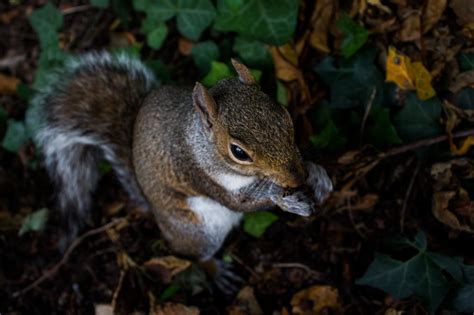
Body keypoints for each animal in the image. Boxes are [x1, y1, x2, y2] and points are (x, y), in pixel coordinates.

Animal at [33, 51, 332, 282]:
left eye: (285, 115)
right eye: (238, 152)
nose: (296, 177)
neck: (202, 144)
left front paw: (317, 174)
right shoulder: (198, 174)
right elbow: (240, 202)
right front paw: (284, 198)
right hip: (197, 233)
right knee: (195, 256)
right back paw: (216, 271)